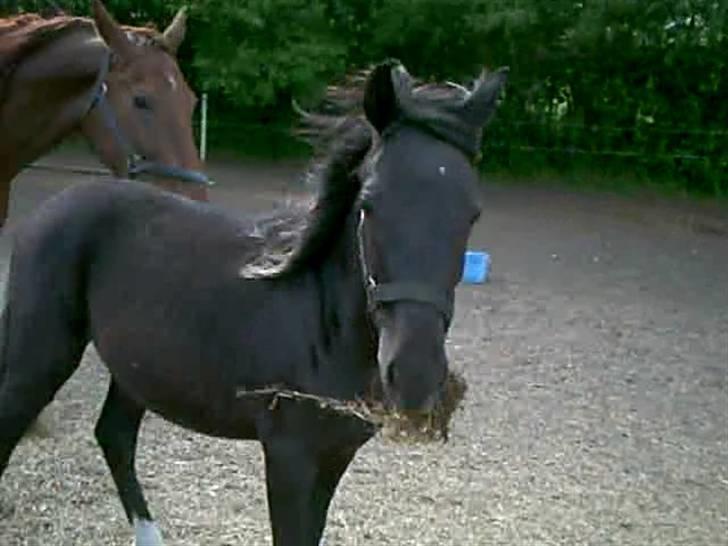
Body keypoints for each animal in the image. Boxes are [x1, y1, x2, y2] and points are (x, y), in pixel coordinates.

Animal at [0, 60, 506, 544]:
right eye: (369, 204)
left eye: (472, 213)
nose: (416, 375)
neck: (321, 327)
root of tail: (56, 204)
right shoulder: (289, 459)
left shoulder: (334, 456)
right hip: (40, 356)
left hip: (136, 368)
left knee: (114, 435)